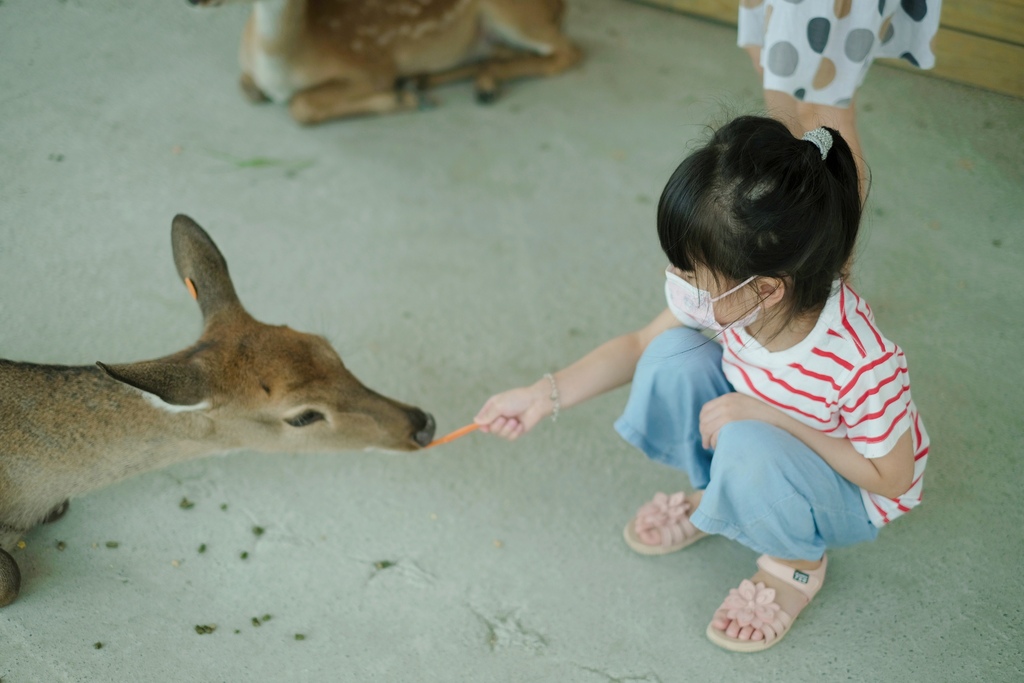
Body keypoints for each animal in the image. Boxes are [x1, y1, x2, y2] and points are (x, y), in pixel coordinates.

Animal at [187, 0, 581, 125]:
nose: (193, 0)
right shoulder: (247, 73)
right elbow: (249, 89)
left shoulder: (372, 66)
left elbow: (302, 106)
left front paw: (398, 98)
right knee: (500, 53)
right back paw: (435, 82)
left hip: (514, 13)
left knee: (568, 52)